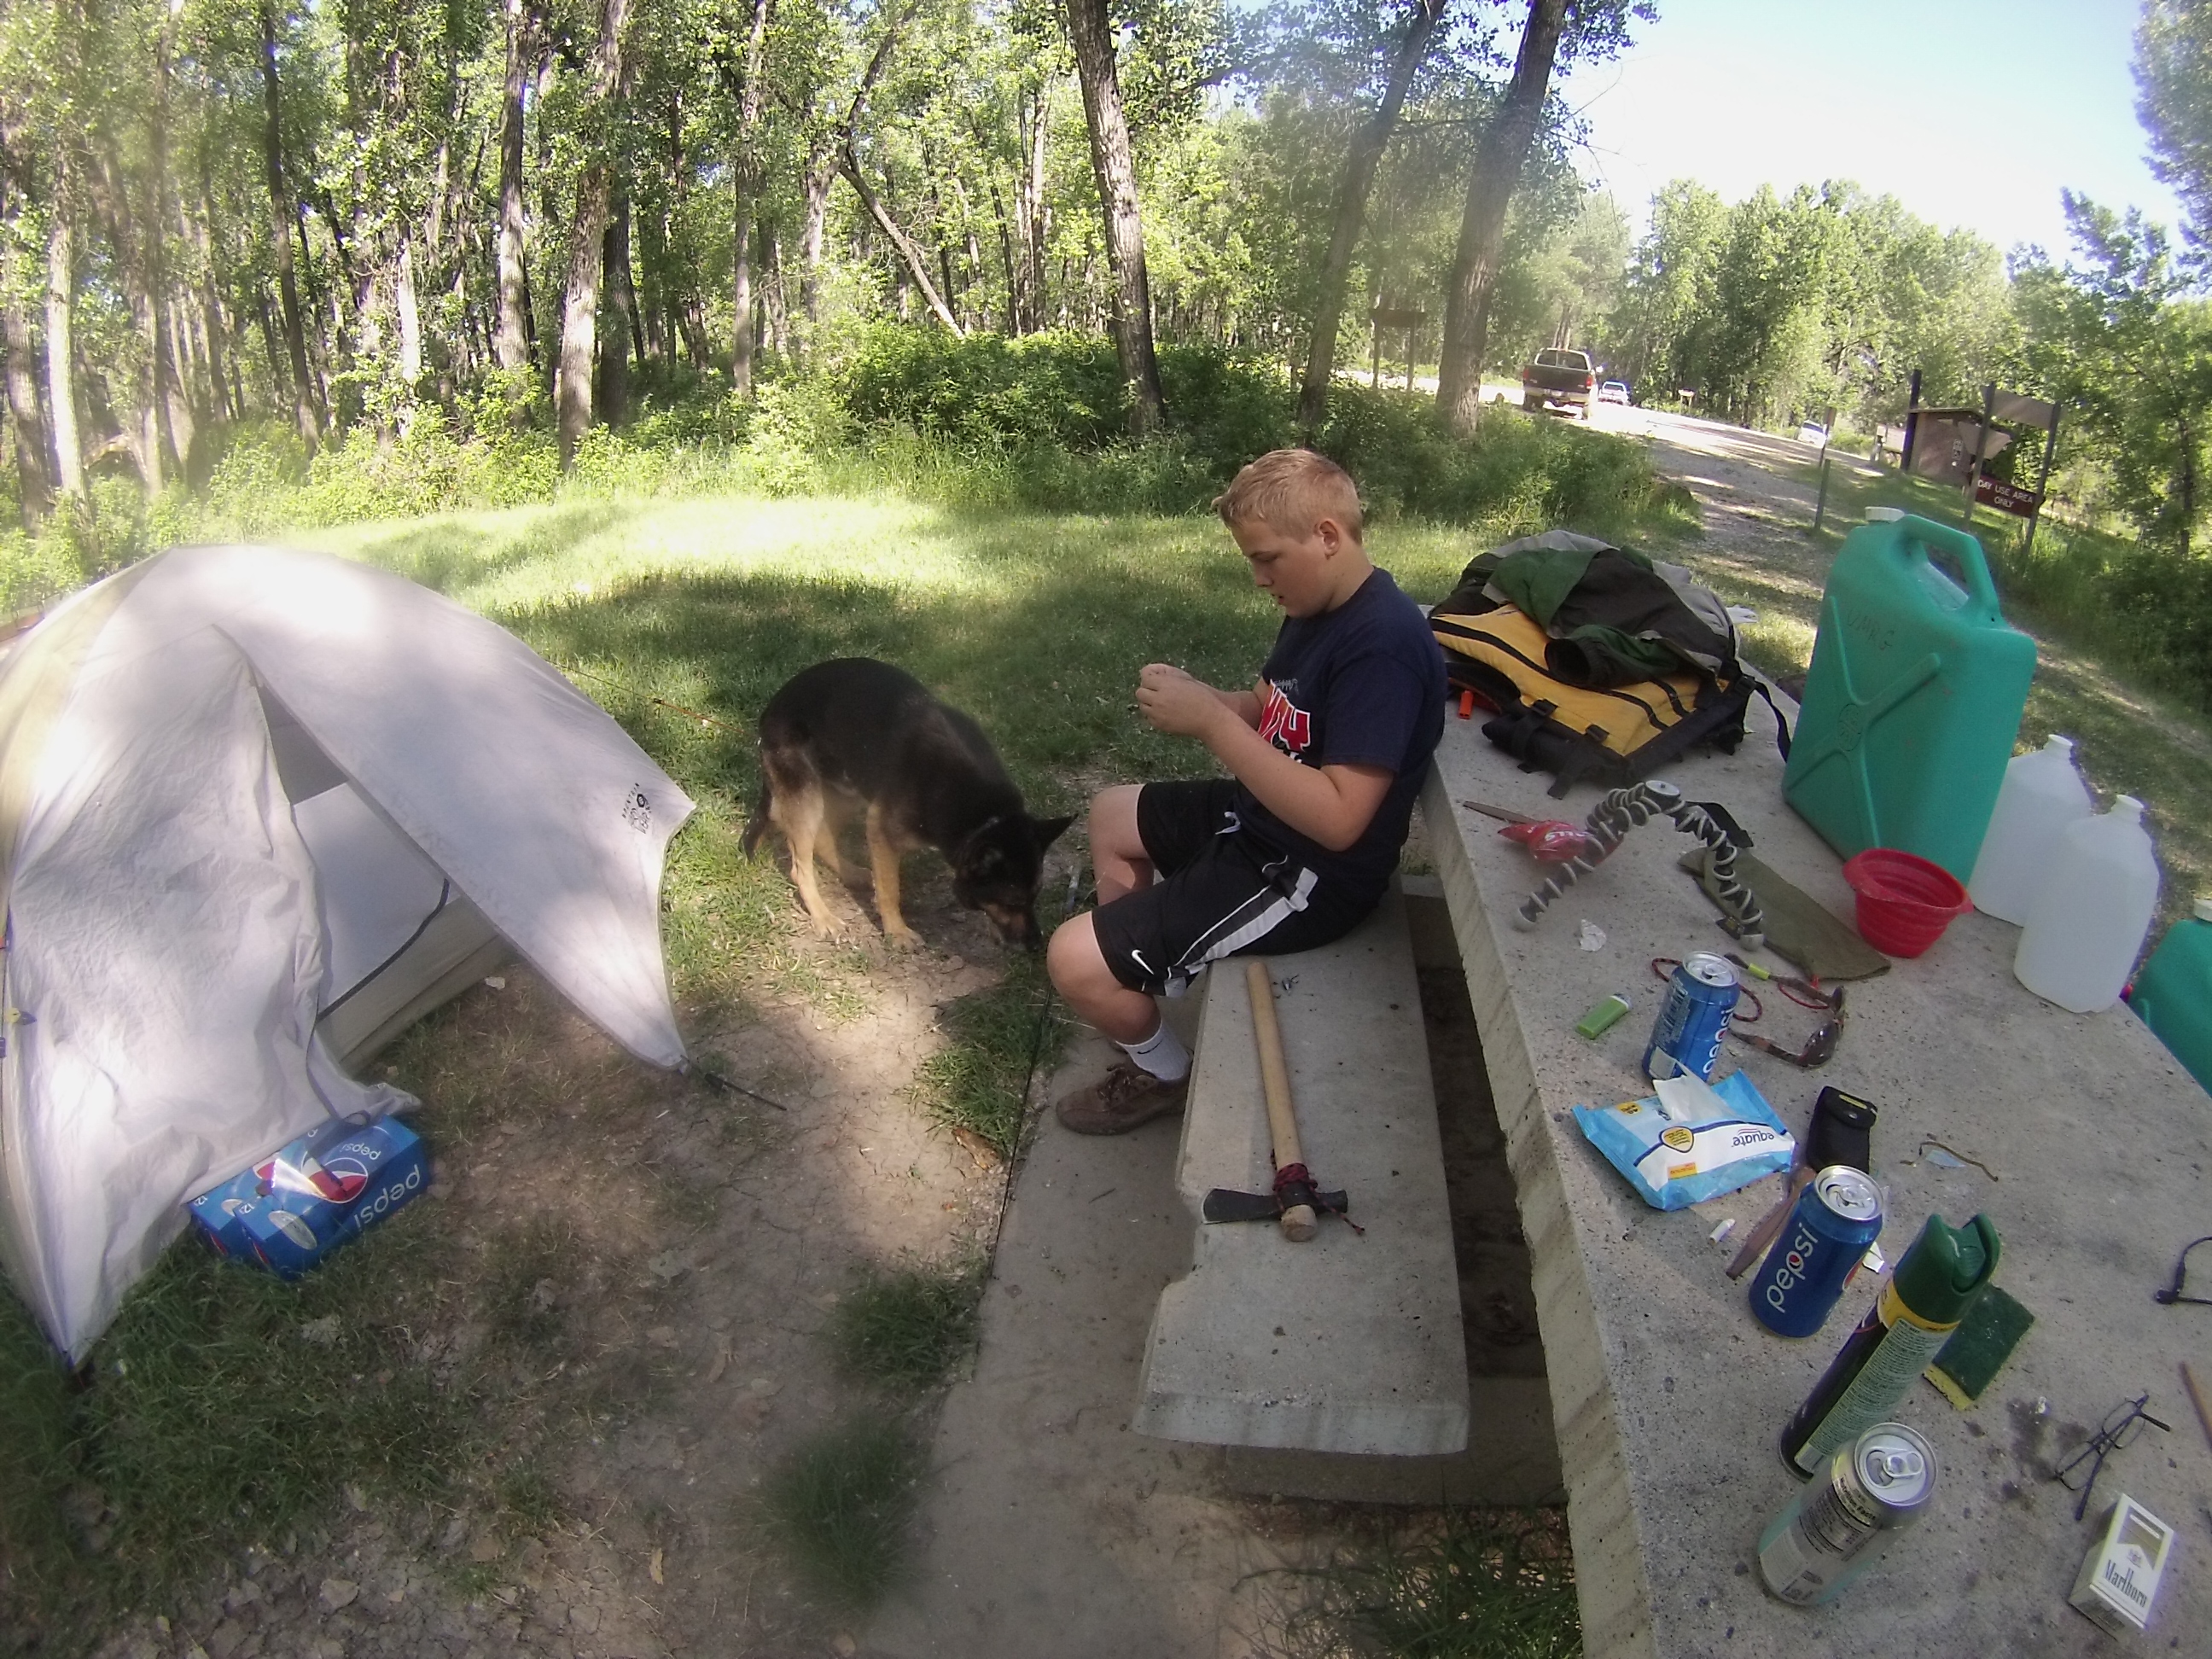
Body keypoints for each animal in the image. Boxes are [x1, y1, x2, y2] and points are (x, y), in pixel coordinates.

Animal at [742, 658, 1072, 949]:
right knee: (800, 865)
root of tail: (774, 704)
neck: (986, 817)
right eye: (1013, 901)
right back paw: (824, 917)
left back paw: (852, 874)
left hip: (847, 791)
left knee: (822, 838)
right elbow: (890, 890)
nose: (1036, 945)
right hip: (808, 796)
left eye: (1036, 895)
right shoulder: (881, 830)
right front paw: (897, 933)